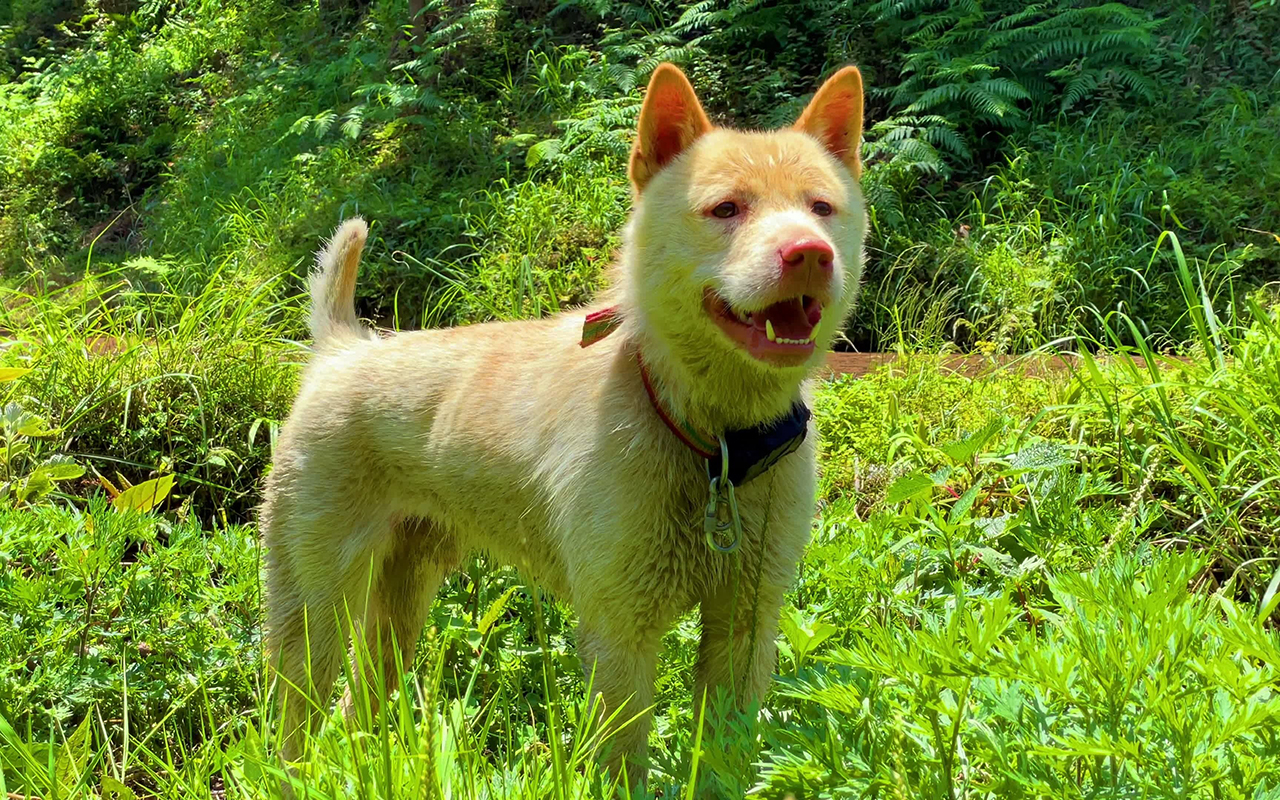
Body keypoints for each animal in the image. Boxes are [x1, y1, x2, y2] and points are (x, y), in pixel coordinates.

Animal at [262, 62, 870, 778]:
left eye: (821, 208)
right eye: (727, 209)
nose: (809, 252)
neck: (712, 439)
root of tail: (343, 348)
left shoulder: (746, 623)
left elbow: (725, 755)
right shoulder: (620, 633)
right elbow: (624, 760)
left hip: (402, 594)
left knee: (362, 700)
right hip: (315, 600)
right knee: (295, 714)